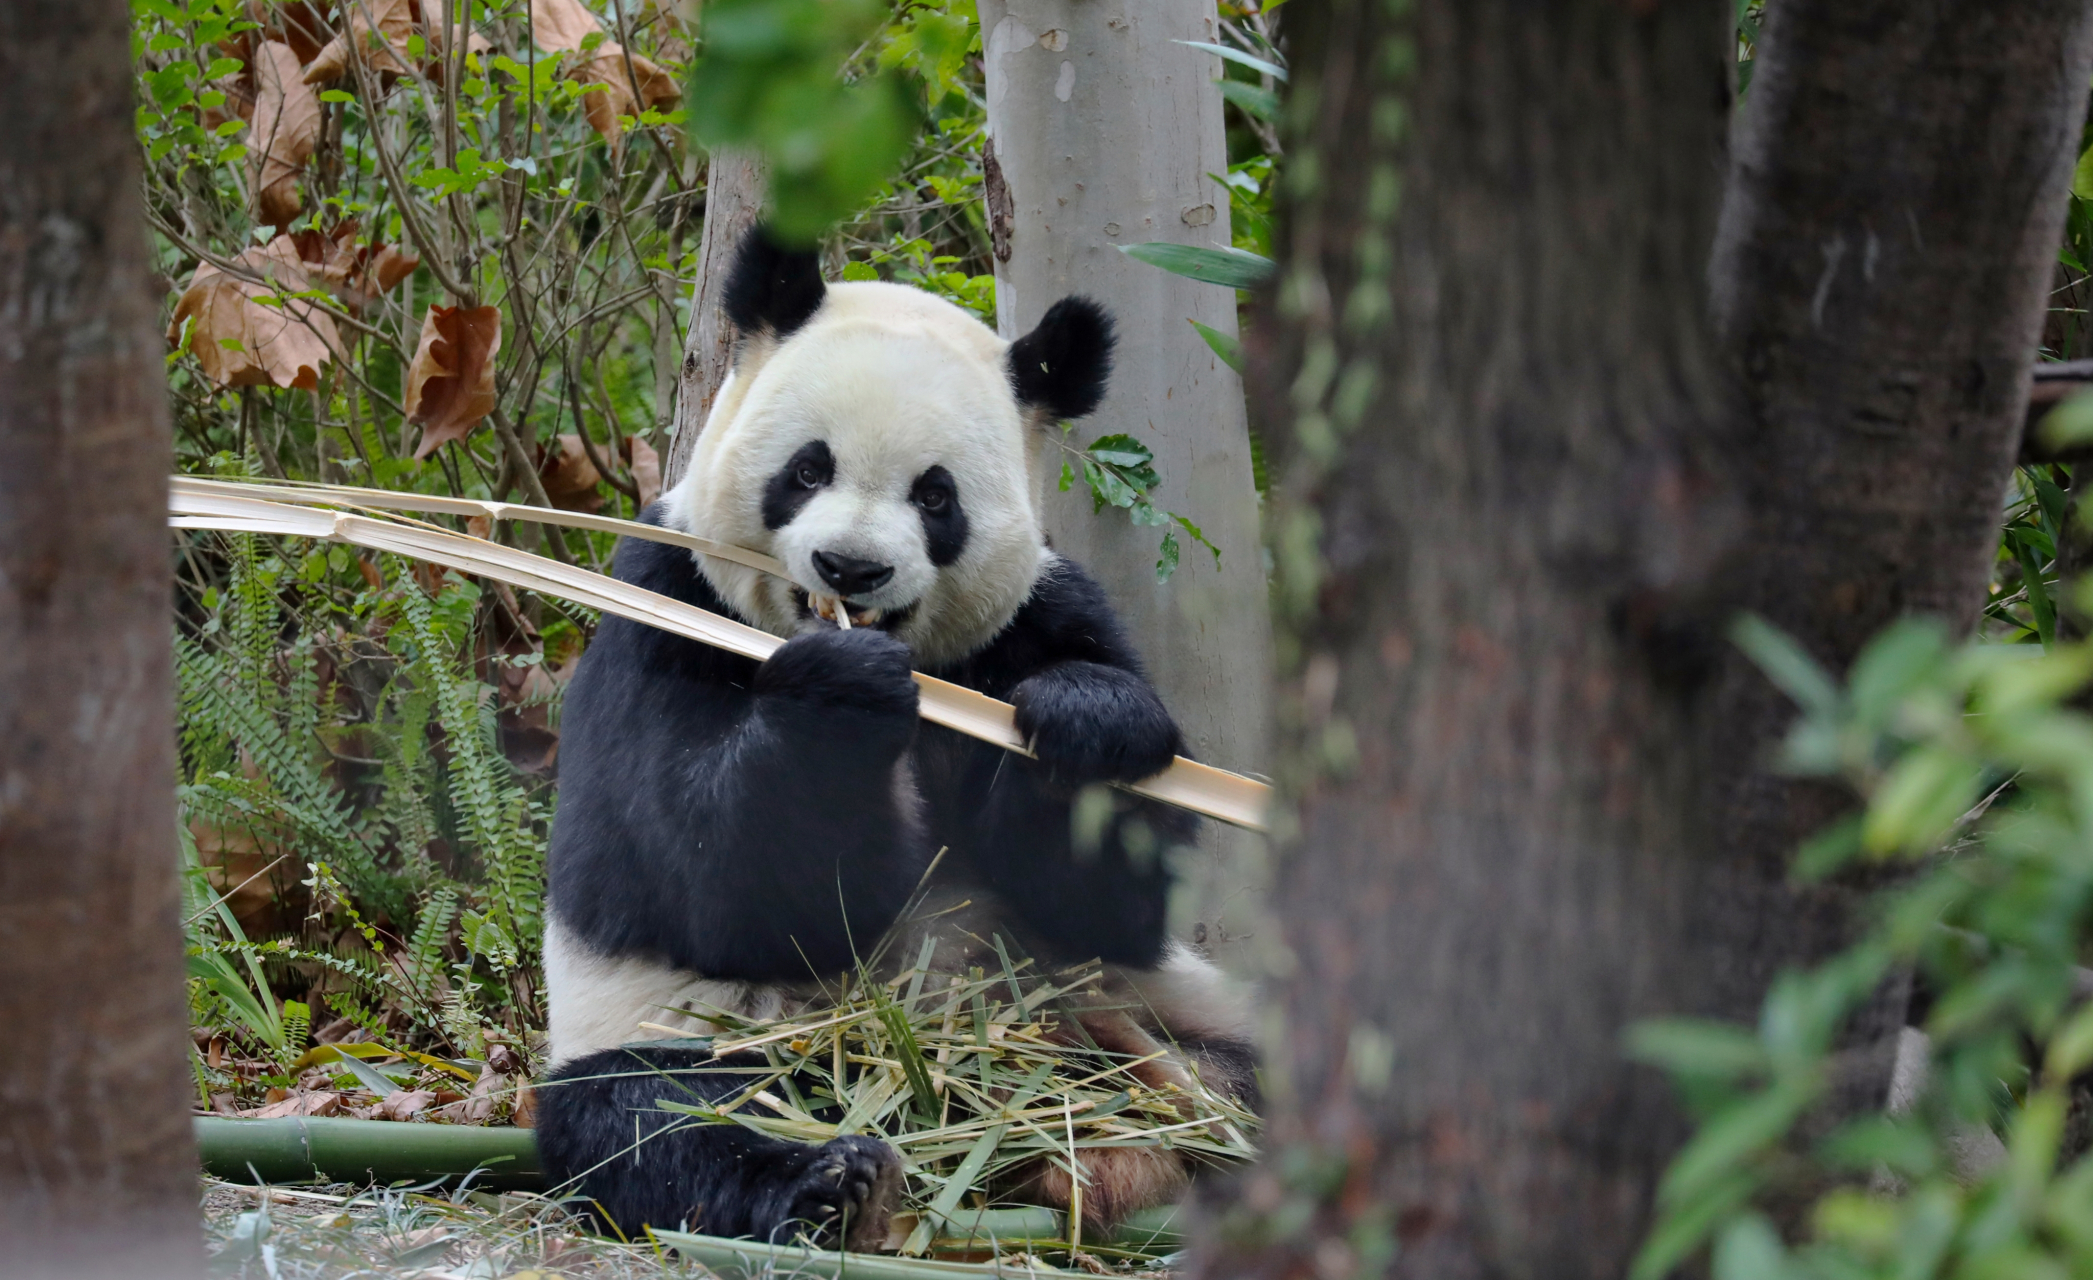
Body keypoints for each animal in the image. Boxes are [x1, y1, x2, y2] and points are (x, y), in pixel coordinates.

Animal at [539, 230, 1255, 1246]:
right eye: (807, 469)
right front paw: (839, 696)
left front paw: (1088, 728)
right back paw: (834, 1182)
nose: (851, 568)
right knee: (664, 1120)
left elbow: (1116, 903)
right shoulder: (664, 600)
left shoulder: (1040, 616)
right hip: (700, 1031)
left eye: (935, 496)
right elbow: (686, 874)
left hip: (1149, 1011)